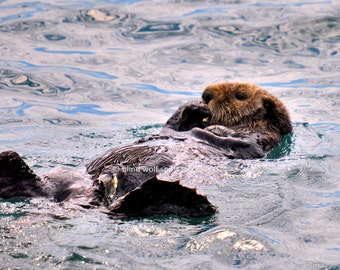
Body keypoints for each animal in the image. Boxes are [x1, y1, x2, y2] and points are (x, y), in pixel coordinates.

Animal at [0, 81, 292, 217]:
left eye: (240, 95)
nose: (206, 94)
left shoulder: (259, 140)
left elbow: (237, 141)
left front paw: (215, 126)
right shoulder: (174, 128)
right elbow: (172, 127)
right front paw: (193, 109)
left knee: (121, 208)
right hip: (63, 175)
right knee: (37, 185)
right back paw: (9, 165)